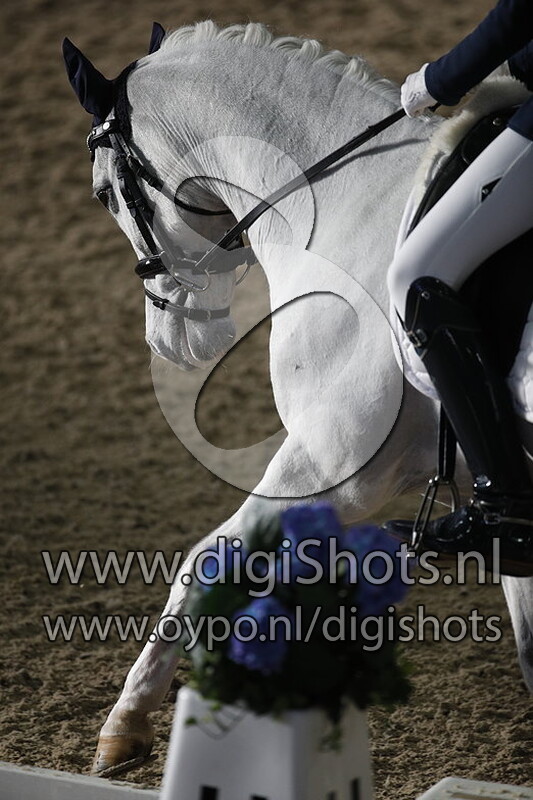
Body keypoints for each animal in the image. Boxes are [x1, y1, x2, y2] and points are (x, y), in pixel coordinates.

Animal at [64, 20, 533, 775]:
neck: (354, 202)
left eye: (105, 192)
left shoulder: (334, 465)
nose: (171, 343)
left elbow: (207, 561)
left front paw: (124, 726)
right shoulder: (507, 507)